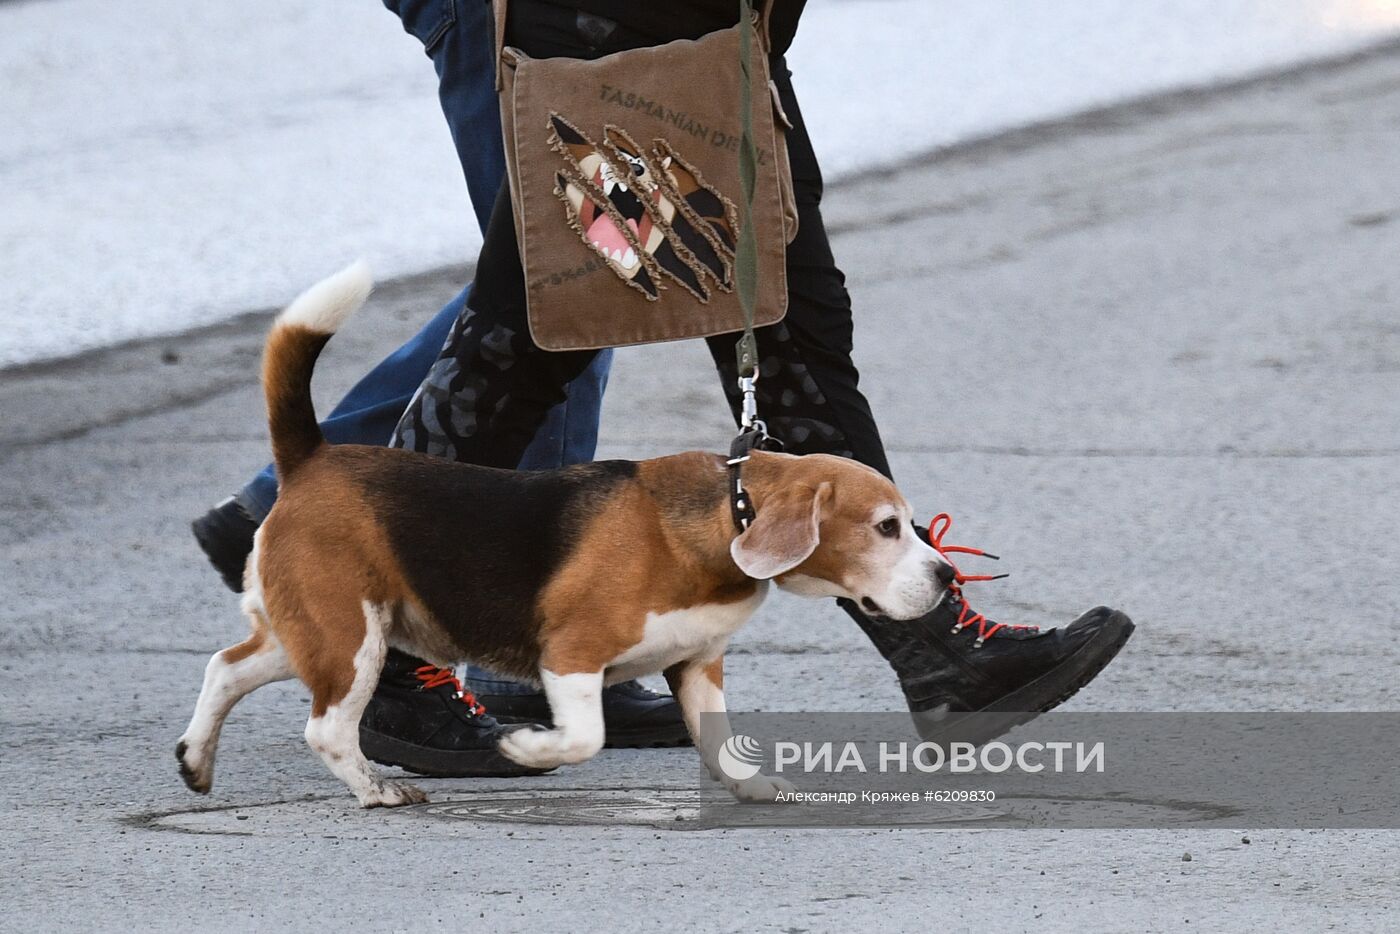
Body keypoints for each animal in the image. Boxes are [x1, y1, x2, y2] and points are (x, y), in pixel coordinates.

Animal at [177, 264, 952, 812]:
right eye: (886, 528)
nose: (947, 577)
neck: (725, 515)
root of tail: (310, 457)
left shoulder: (698, 664)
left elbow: (719, 739)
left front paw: (751, 786)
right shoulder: (571, 655)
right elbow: (585, 737)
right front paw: (526, 749)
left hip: (312, 630)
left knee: (225, 667)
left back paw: (196, 759)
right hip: (351, 634)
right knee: (327, 728)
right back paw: (376, 789)